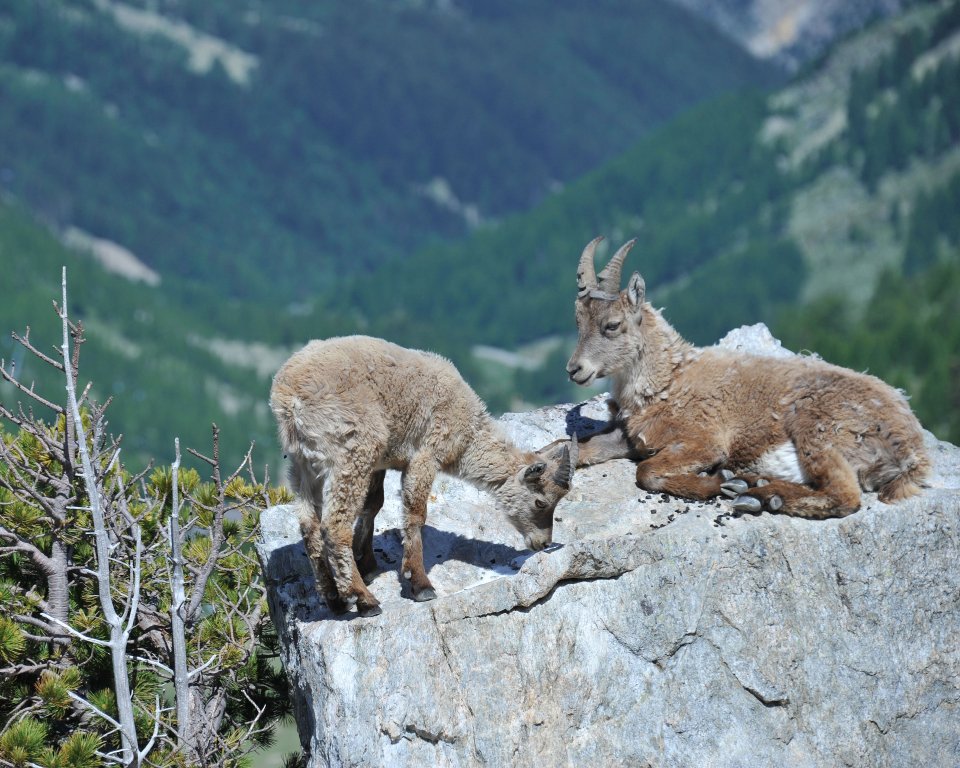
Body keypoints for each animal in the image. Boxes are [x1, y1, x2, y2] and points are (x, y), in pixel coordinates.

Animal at [270, 335, 576, 616]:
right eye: (540, 501)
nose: (543, 542)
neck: (467, 433)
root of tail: (288, 398)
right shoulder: (426, 453)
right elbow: (415, 512)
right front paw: (419, 583)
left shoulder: (380, 463)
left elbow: (373, 505)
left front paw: (367, 562)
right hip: (351, 451)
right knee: (334, 526)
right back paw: (363, 599)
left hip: (302, 465)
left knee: (309, 526)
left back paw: (333, 598)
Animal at [561, 236, 929, 518]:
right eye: (577, 322)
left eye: (612, 325)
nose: (574, 369)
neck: (668, 381)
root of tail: (911, 448)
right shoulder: (628, 436)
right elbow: (580, 448)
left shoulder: (703, 440)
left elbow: (647, 472)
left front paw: (718, 481)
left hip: (819, 427)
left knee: (844, 495)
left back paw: (758, 494)